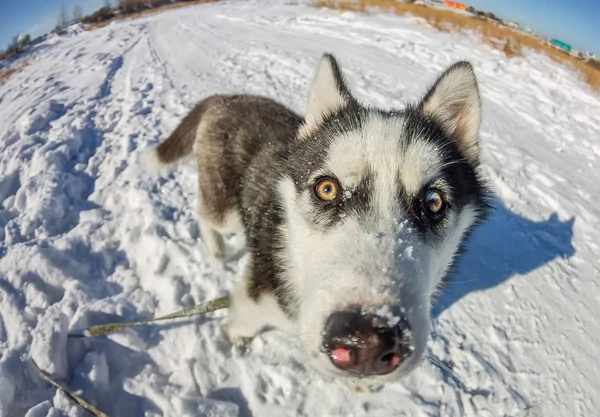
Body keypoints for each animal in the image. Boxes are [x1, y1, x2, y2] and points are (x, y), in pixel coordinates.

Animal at [150, 55, 488, 384]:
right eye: (327, 189)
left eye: (433, 201)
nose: (366, 341)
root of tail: (226, 97)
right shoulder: (252, 302)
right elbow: (240, 327)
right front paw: (238, 342)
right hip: (227, 212)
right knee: (204, 214)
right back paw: (217, 249)